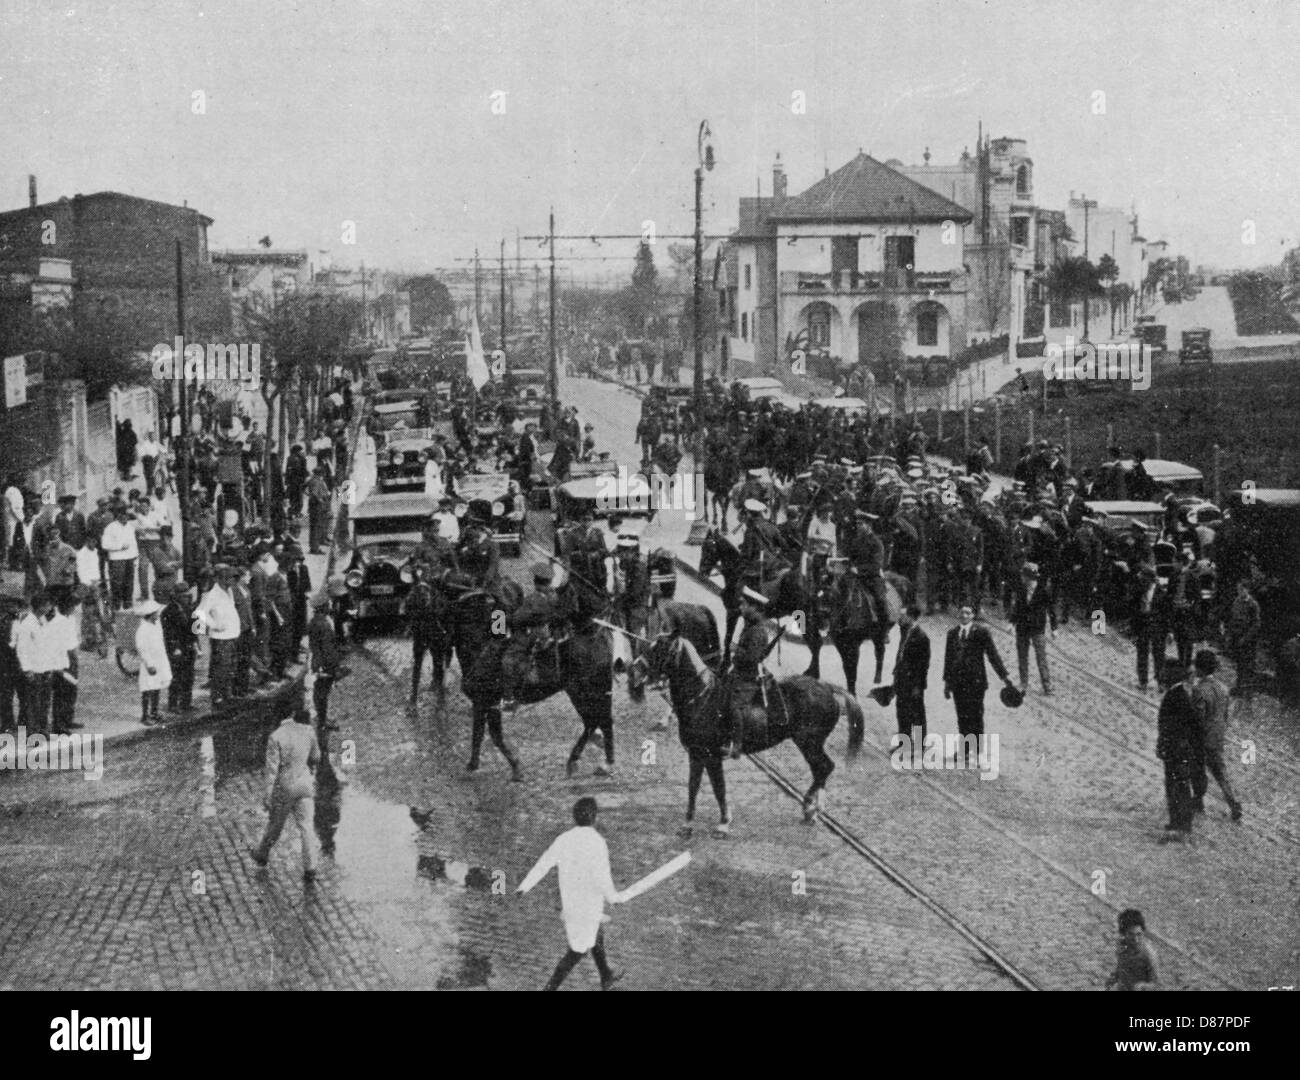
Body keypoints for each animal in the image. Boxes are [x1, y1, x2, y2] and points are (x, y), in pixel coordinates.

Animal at [642, 634, 863, 836]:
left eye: (660, 649)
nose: (638, 672)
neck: (702, 698)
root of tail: (827, 687)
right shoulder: (696, 755)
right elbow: (693, 787)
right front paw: (687, 824)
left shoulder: (712, 757)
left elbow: (718, 788)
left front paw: (723, 823)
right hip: (810, 744)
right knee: (820, 770)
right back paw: (813, 811)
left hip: (809, 743)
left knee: (824, 767)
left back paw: (810, 806)